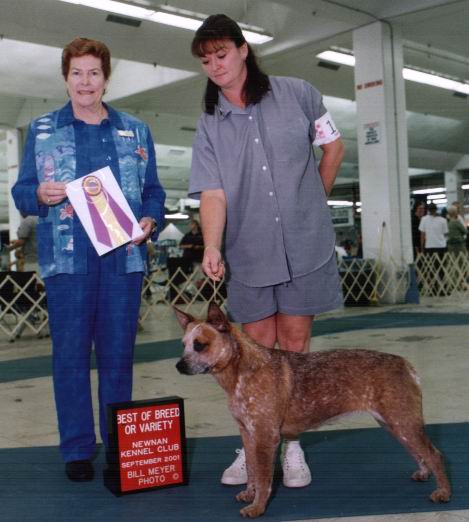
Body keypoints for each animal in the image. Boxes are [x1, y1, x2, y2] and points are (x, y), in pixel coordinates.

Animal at [175, 302, 450, 512]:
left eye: (200, 344)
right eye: (184, 344)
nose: (179, 365)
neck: (242, 371)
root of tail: (405, 364)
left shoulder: (265, 436)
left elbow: (263, 477)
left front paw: (257, 507)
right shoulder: (247, 433)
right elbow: (252, 469)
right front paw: (248, 494)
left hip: (403, 421)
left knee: (434, 453)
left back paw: (443, 492)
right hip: (394, 423)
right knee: (419, 452)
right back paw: (423, 473)